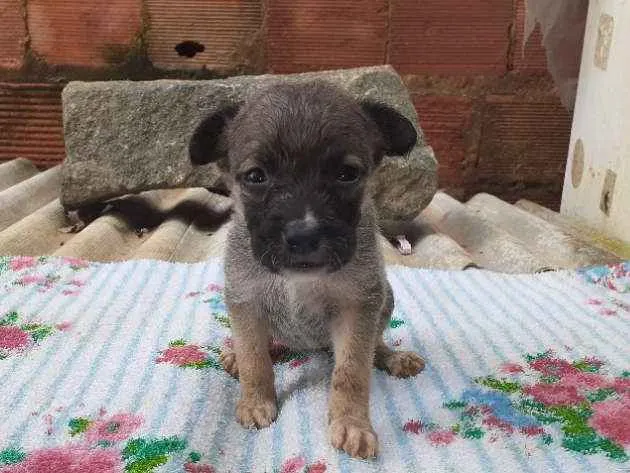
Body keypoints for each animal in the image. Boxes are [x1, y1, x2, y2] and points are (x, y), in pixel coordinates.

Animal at [188, 81, 424, 458]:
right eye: (256, 176)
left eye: (347, 174)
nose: (303, 236)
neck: (298, 279)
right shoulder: (245, 300)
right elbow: (255, 359)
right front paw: (255, 401)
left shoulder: (357, 307)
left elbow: (352, 372)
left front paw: (352, 424)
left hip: (384, 298)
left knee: (375, 344)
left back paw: (393, 357)